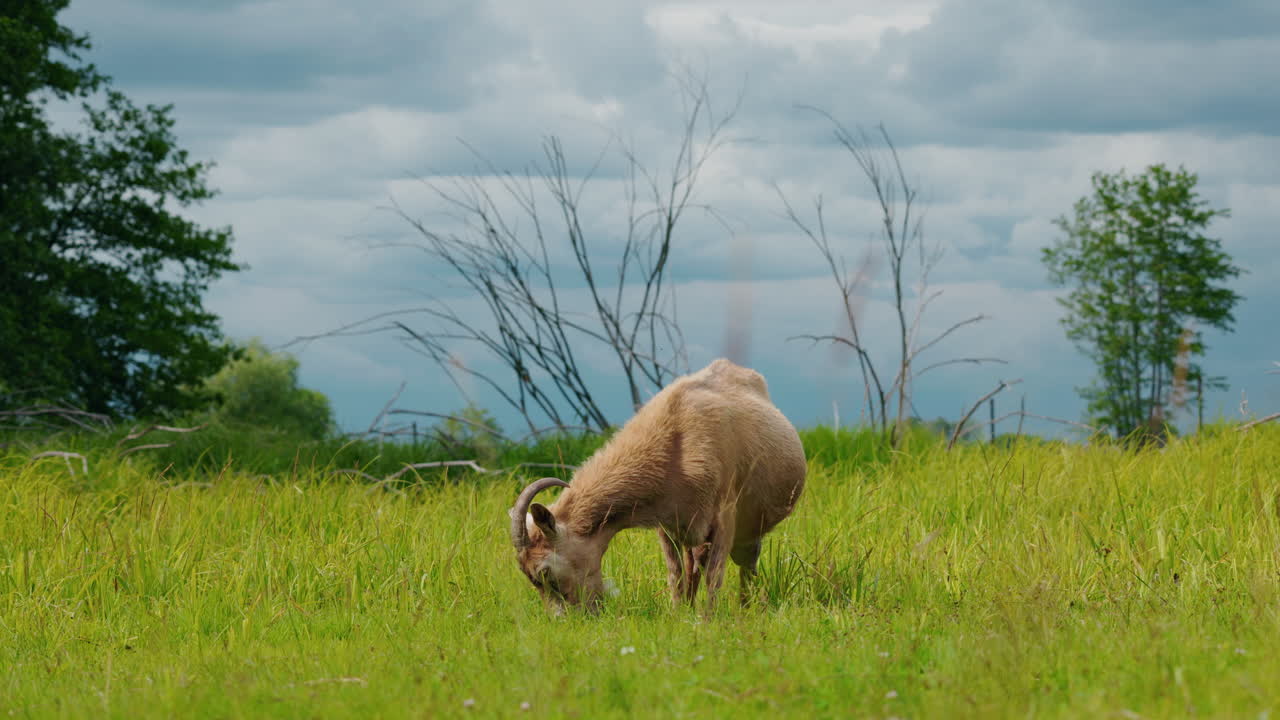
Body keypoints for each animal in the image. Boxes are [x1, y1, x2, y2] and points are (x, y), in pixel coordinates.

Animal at [508, 358, 806, 612]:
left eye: (545, 572)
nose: (576, 617)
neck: (675, 443)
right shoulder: (667, 522)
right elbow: (676, 572)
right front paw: (678, 614)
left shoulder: (725, 514)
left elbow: (715, 574)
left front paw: (709, 619)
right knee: (695, 563)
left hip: (747, 529)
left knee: (745, 563)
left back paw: (745, 608)